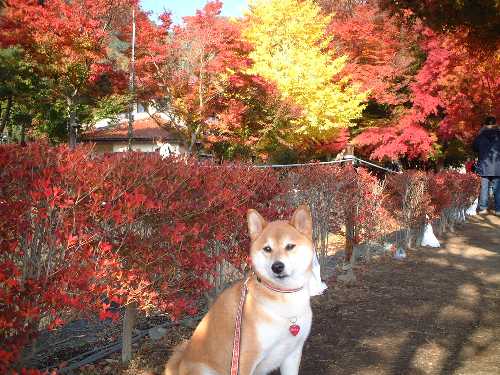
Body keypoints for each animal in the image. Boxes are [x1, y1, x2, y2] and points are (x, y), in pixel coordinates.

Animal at [164, 207, 314, 374]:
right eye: (267, 249)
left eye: (290, 246)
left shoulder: (292, 352)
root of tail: (180, 363)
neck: (283, 296)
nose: (277, 266)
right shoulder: (245, 359)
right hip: (205, 369)